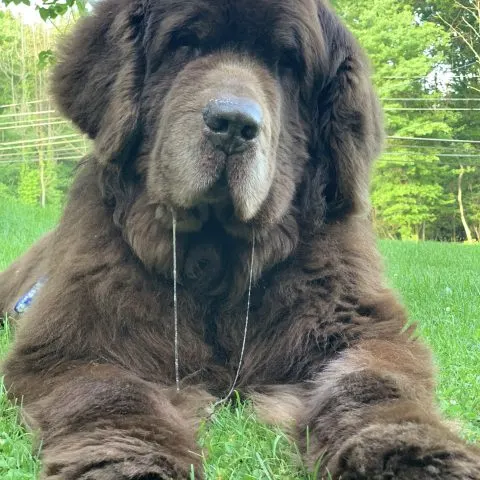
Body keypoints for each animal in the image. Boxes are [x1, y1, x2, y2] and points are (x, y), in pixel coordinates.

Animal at [0, 0, 480, 476]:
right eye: (186, 43)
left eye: (287, 63)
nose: (232, 123)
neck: (215, 261)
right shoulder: (78, 344)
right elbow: (111, 394)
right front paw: (132, 464)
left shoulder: (362, 329)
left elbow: (370, 381)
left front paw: (413, 456)